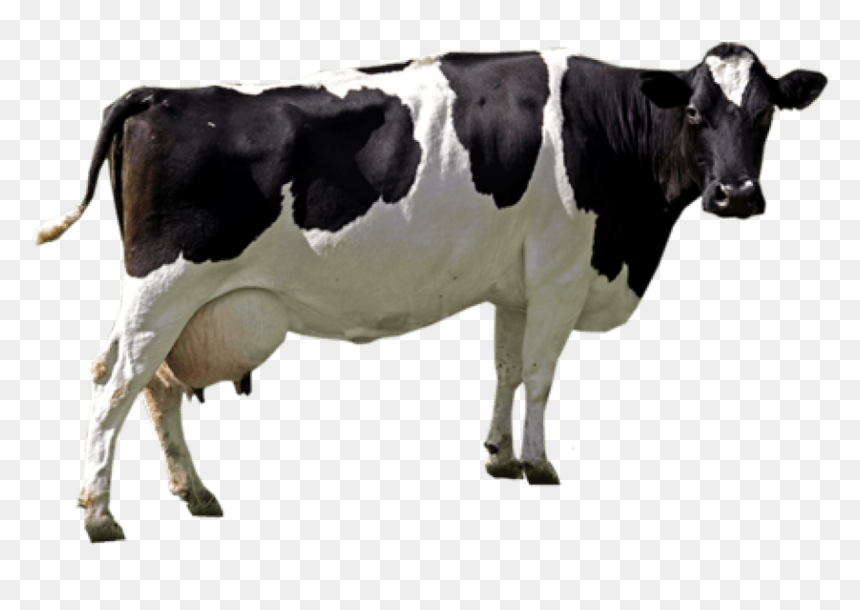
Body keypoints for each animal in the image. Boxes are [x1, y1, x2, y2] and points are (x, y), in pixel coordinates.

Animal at [36, 43, 826, 542]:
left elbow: (506, 368)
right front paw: (539, 463)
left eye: (765, 113)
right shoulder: (561, 273)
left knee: (149, 384)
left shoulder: (516, 286)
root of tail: (160, 95)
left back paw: (194, 493)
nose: (736, 194)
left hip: (168, 300)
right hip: (166, 285)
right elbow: (540, 375)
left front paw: (499, 454)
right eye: (694, 112)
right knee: (118, 385)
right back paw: (99, 515)